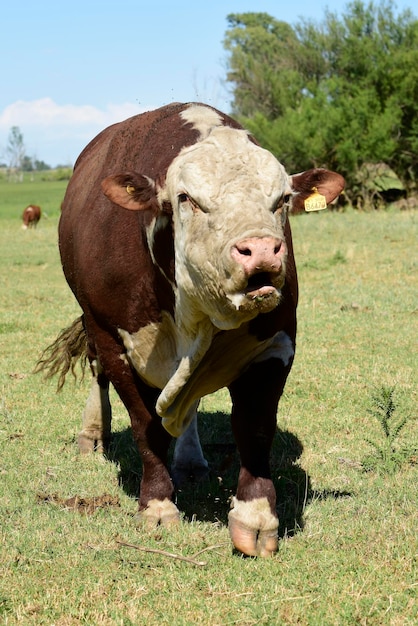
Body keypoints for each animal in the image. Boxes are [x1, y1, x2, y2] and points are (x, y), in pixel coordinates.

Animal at [37, 103, 344, 556]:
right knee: (97, 373)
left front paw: (255, 517)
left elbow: (254, 426)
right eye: (187, 198)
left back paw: (190, 460)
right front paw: (157, 505)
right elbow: (146, 427)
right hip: (91, 322)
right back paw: (92, 435)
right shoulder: (116, 341)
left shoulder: (276, 344)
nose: (261, 250)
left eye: (282, 199)